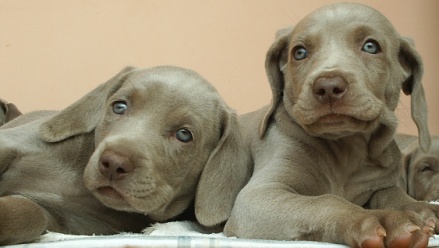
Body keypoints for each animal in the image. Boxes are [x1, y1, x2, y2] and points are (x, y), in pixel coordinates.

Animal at [0, 65, 249, 244]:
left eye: (184, 135)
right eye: (119, 107)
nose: (113, 163)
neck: (81, 187)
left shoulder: (66, 219)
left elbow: (32, 214)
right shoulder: (11, 142)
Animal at [227, 3, 439, 248]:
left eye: (370, 46)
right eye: (299, 52)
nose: (328, 86)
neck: (346, 149)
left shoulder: (379, 182)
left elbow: (392, 192)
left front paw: (421, 208)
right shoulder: (257, 196)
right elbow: (326, 200)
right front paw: (380, 219)